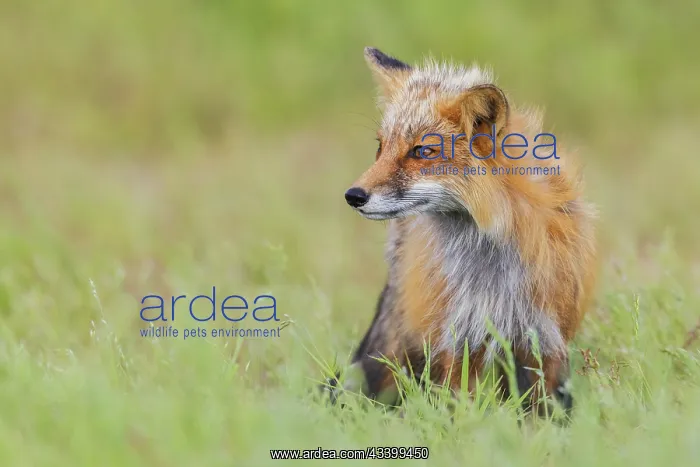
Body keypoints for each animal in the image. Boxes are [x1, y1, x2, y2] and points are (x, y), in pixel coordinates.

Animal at [328, 47, 597, 414]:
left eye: (422, 151)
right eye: (380, 148)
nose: (353, 195)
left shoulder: (545, 338)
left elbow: (543, 410)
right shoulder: (457, 339)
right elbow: (462, 408)